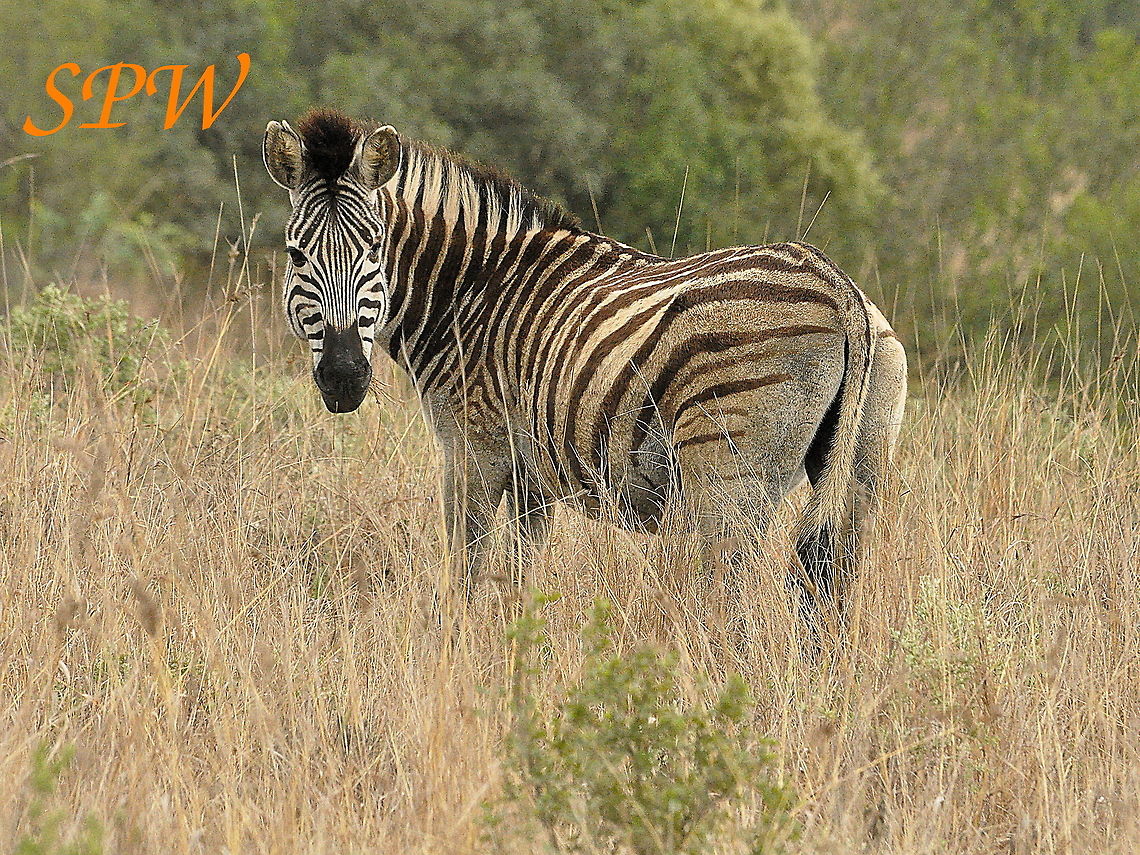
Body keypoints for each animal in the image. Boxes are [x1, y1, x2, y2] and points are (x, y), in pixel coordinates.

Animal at [262, 107, 907, 613]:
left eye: (372, 249)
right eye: (296, 255)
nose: (343, 379)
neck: (474, 291)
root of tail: (839, 288)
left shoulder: (472, 445)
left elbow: (465, 566)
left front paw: (459, 653)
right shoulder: (531, 471)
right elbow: (517, 571)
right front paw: (513, 652)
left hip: (727, 472)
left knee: (727, 593)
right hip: (862, 465)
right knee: (831, 578)